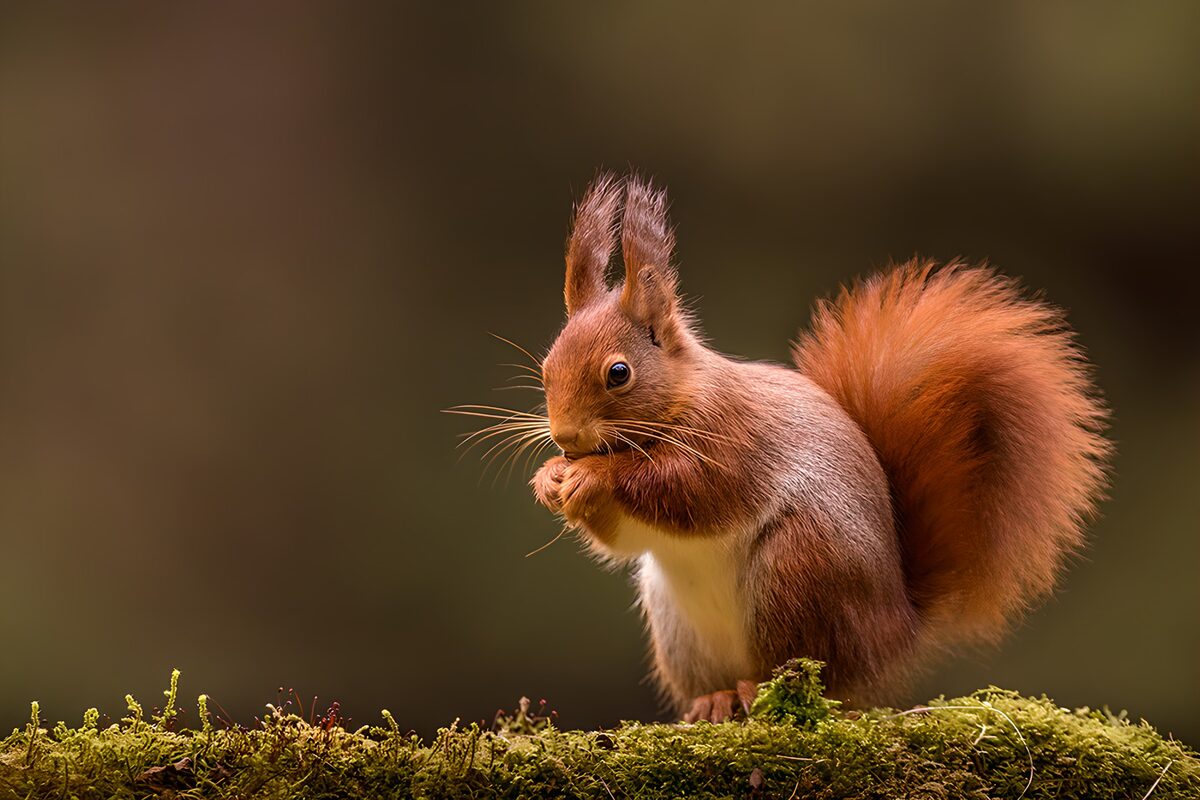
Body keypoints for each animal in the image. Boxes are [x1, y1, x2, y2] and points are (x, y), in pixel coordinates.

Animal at [503, 173, 1111, 723]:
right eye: (547, 366)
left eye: (619, 374)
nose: (565, 437)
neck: (681, 398)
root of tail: (896, 633)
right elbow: (623, 539)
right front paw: (551, 479)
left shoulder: (734, 441)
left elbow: (687, 491)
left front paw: (591, 477)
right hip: (677, 621)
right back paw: (715, 699)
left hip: (798, 570)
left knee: (821, 677)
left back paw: (759, 689)